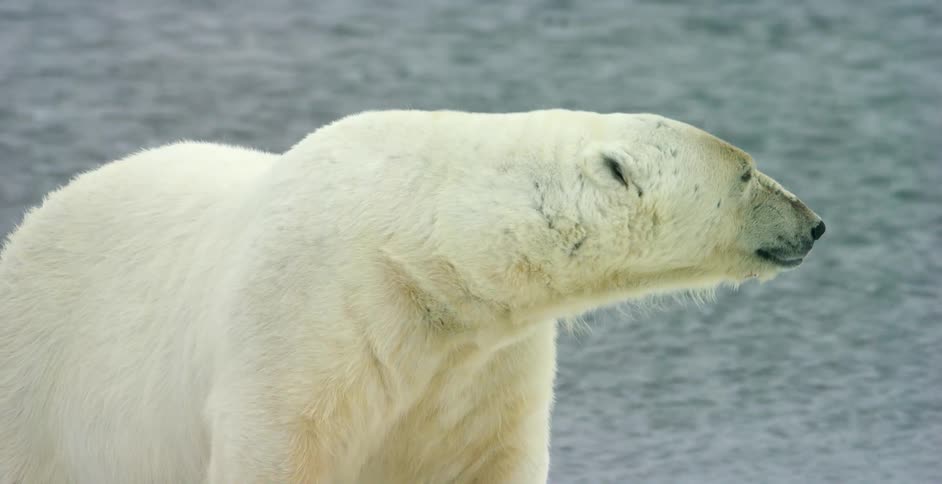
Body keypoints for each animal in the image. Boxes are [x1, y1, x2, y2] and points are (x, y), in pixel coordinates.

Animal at [0, 110, 825, 484]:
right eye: (746, 171)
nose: (814, 224)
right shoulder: (299, 318)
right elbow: (277, 447)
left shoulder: (481, 359)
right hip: (41, 400)